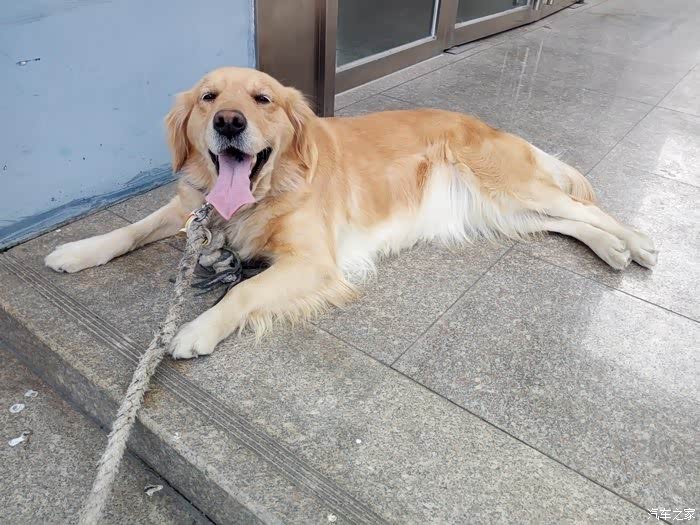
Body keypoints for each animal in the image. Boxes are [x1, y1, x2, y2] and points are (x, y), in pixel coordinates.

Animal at [45, 67, 657, 359]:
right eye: (208, 98)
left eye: (262, 99)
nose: (229, 123)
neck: (265, 190)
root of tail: (489, 124)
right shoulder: (190, 209)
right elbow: (130, 229)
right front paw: (78, 250)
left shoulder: (314, 262)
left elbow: (243, 291)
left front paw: (198, 329)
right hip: (502, 209)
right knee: (569, 220)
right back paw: (613, 249)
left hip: (512, 186)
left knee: (584, 206)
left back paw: (635, 242)